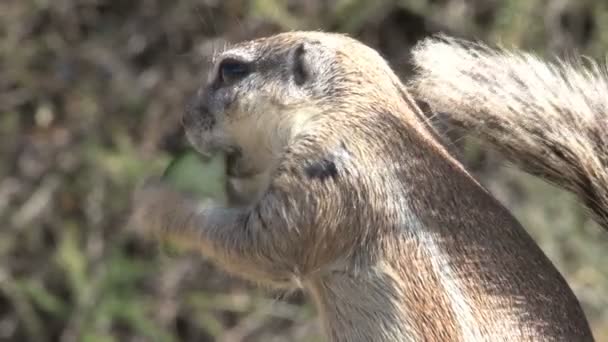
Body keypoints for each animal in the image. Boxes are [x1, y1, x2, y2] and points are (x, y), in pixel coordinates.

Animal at [129, 31, 592, 340]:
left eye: (231, 69)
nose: (184, 119)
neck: (350, 105)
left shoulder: (324, 178)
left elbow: (264, 247)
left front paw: (155, 203)